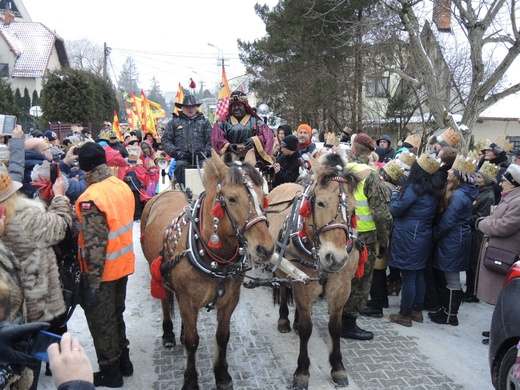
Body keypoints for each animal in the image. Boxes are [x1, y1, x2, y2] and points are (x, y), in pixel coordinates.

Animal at [138, 150, 276, 390]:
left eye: (263, 195)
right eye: (231, 198)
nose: (265, 248)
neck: (214, 259)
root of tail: (168, 191)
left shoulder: (230, 300)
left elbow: (222, 336)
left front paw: (222, 374)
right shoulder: (188, 300)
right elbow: (193, 342)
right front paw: (191, 380)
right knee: (165, 300)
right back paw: (168, 333)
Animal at [268, 154, 362, 388]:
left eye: (354, 209)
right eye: (320, 203)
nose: (335, 258)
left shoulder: (341, 288)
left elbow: (335, 327)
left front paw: (338, 368)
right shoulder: (304, 285)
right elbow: (306, 329)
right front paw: (302, 371)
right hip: (283, 269)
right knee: (283, 288)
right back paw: (284, 320)